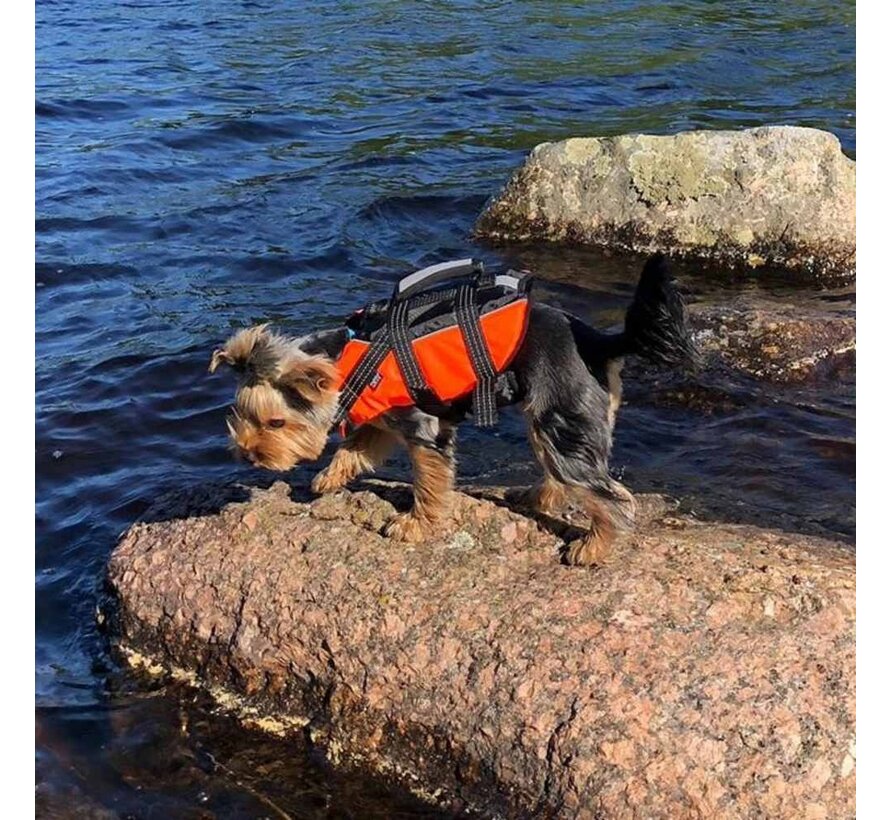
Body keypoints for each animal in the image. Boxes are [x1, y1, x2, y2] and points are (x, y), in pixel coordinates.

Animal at [208, 255, 692, 564]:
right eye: (241, 417)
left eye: (275, 422)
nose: (248, 453)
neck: (349, 362)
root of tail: (598, 342)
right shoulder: (383, 421)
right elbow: (355, 446)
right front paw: (329, 478)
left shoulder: (424, 430)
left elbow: (428, 484)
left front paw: (414, 526)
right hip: (548, 419)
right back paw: (534, 497)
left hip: (561, 418)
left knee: (613, 496)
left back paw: (592, 548)